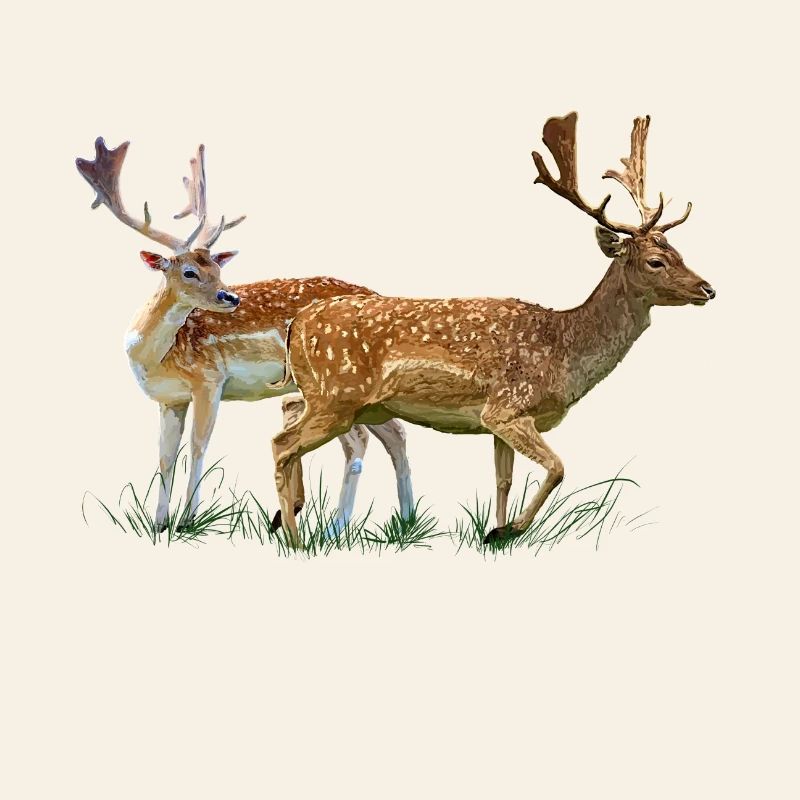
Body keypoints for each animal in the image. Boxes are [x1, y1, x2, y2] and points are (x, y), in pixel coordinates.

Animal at [76, 138, 414, 534]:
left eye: (218, 268)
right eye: (190, 271)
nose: (230, 297)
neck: (154, 357)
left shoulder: (209, 380)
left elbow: (198, 447)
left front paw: (187, 520)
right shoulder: (169, 399)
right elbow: (165, 456)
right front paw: (158, 523)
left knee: (359, 441)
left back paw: (336, 527)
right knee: (395, 433)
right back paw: (405, 520)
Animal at [270, 112, 716, 546]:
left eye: (680, 252)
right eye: (656, 261)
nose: (708, 288)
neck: (563, 350)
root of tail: (297, 324)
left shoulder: (496, 422)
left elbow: (503, 480)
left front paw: (496, 532)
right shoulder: (507, 407)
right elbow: (558, 467)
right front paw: (511, 529)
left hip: (331, 398)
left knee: (289, 425)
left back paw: (288, 521)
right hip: (336, 397)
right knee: (282, 445)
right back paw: (294, 539)